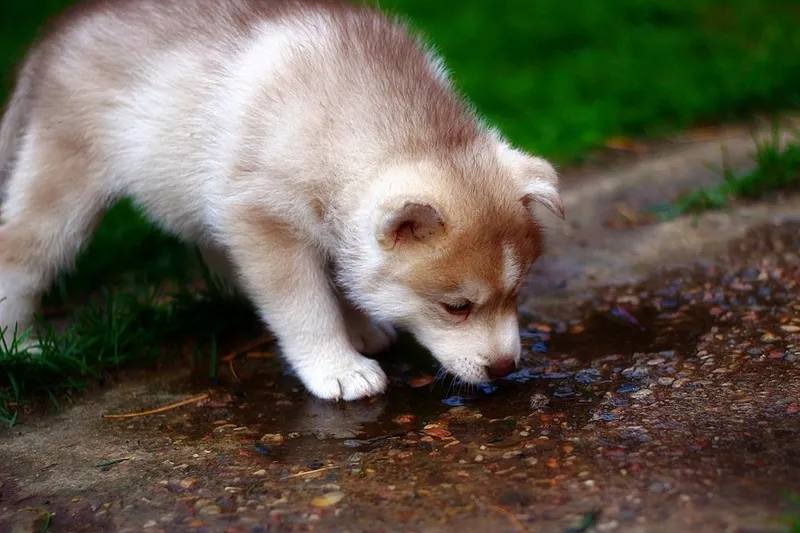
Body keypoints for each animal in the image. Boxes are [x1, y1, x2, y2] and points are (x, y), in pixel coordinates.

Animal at [0, 0, 564, 400]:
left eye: (517, 292)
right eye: (457, 307)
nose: (506, 368)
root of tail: (55, 33)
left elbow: (341, 276)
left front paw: (361, 326)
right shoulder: (264, 221)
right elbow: (305, 306)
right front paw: (338, 368)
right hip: (65, 179)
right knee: (20, 250)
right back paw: (20, 346)